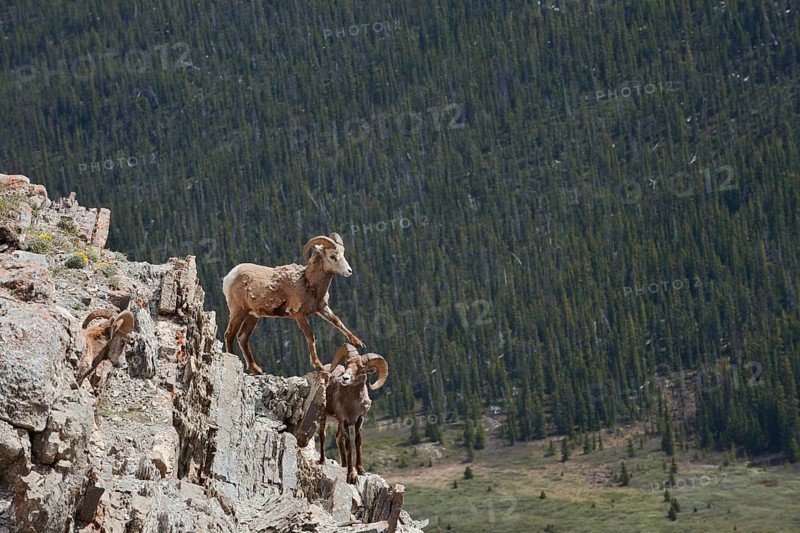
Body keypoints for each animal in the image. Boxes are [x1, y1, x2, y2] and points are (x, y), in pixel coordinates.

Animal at [222, 232, 365, 374]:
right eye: (332, 256)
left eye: (343, 254)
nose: (349, 271)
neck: (308, 283)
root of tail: (229, 276)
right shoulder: (299, 315)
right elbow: (310, 337)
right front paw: (318, 365)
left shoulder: (322, 309)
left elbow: (338, 322)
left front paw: (359, 343)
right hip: (239, 310)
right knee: (230, 334)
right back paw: (233, 360)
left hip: (252, 315)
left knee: (242, 337)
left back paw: (256, 369)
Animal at [318, 343, 388, 484]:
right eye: (346, 364)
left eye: (362, 370)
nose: (345, 378)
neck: (352, 406)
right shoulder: (344, 422)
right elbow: (349, 445)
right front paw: (351, 476)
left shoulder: (359, 419)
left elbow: (357, 442)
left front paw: (361, 470)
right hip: (324, 416)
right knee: (323, 435)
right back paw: (322, 461)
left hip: (337, 423)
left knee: (338, 437)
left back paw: (344, 465)